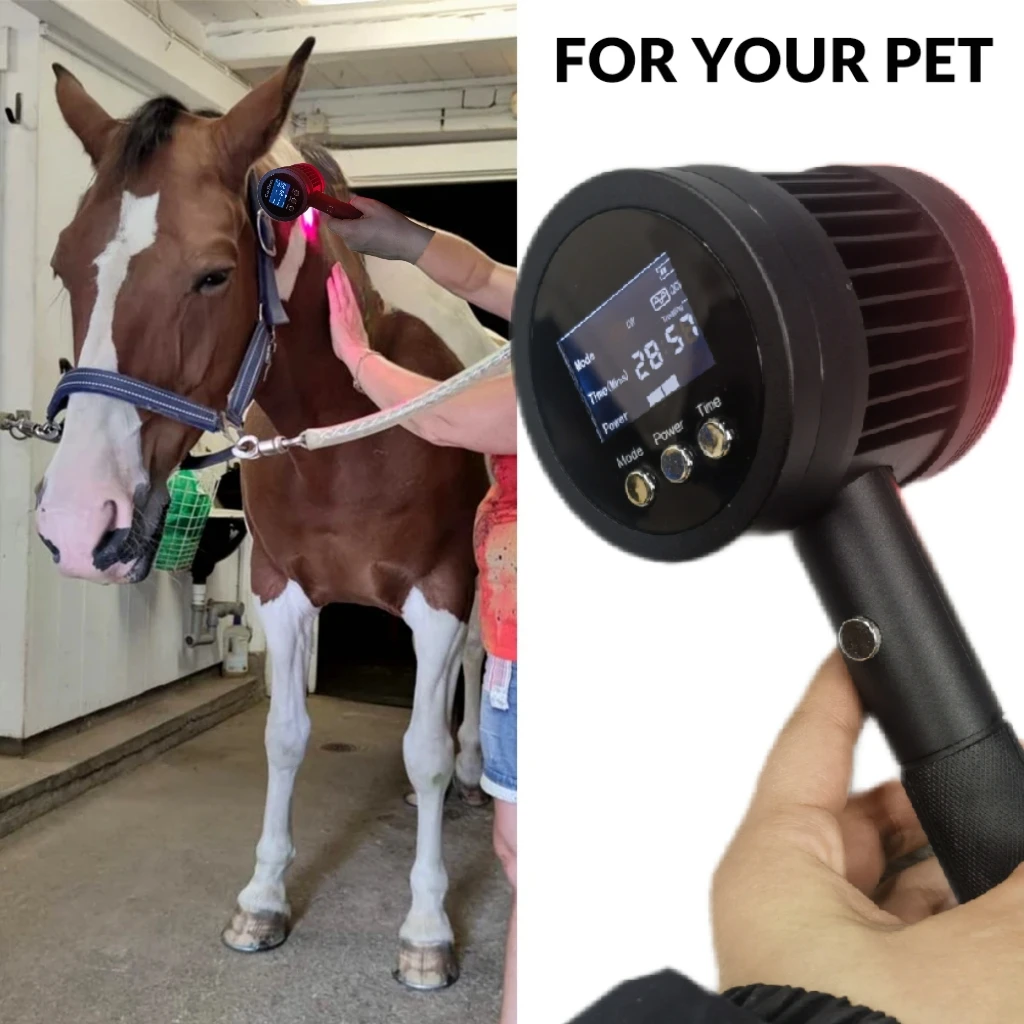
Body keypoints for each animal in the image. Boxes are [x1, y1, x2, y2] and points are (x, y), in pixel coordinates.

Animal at [35, 38, 497, 990]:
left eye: (214, 272)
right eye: (64, 264)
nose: (78, 524)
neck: (349, 429)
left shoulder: (440, 590)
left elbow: (424, 750)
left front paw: (427, 929)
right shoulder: (282, 591)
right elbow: (284, 737)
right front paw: (263, 900)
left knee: (472, 671)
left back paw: (476, 765)